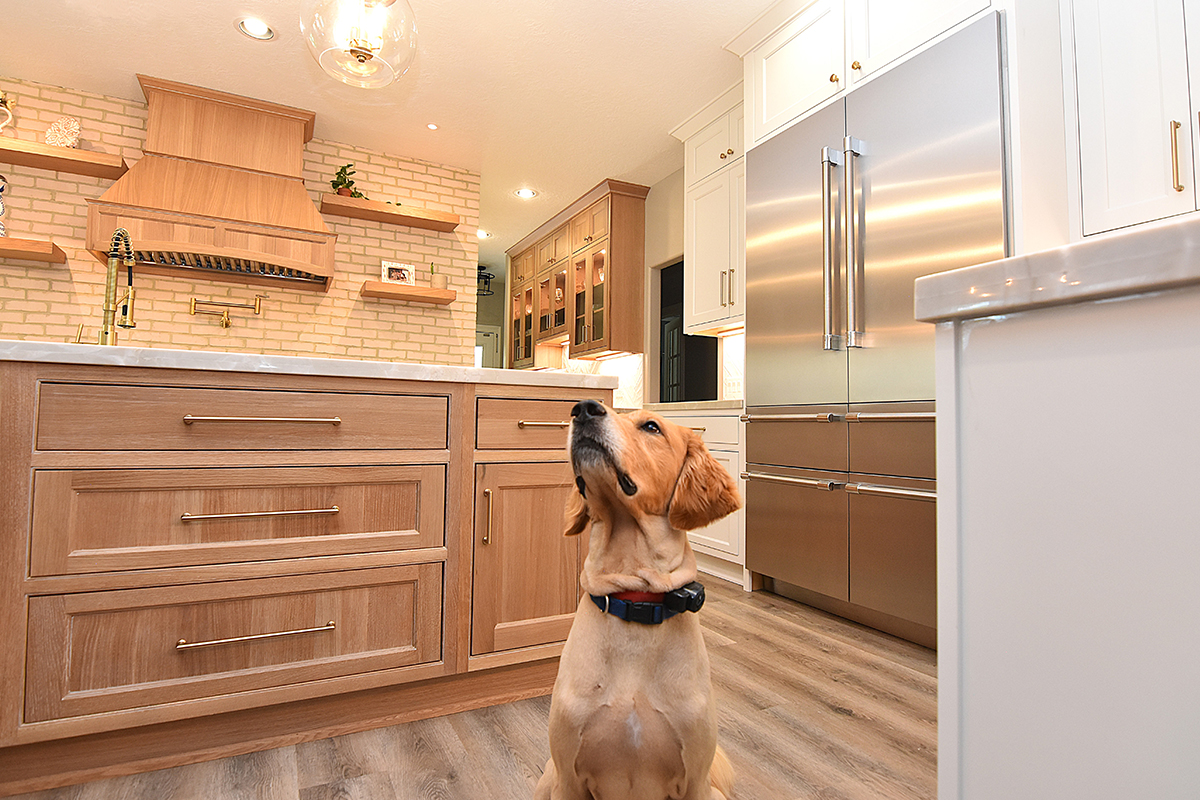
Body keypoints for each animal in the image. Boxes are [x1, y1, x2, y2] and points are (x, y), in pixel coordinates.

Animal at [535, 400, 739, 800]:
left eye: (651, 426)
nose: (583, 408)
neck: (635, 597)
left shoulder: (695, 782)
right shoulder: (568, 779)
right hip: (546, 781)